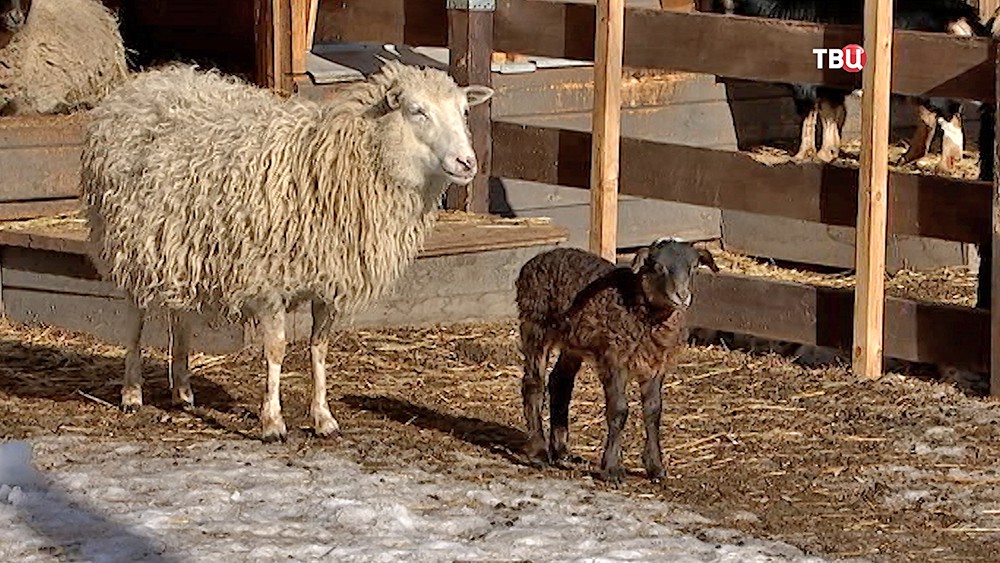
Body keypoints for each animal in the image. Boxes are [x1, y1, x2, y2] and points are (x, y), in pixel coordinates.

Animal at [82, 61, 492, 440]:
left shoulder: (329, 282)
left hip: (181, 245)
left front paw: (323, 418)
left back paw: (182, 390)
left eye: (464, 111)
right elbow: (276, 351)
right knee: (136, 318)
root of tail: (149, 79)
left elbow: (319, 348)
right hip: (130, 242)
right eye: (416, 110)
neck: (333, 163)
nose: (467, 163)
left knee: (179, 314)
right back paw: (132, 393)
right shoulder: (267, 282)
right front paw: (273, 422)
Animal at [516, 239, 720, 484]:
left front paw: (656, 468)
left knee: (560, 383)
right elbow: (619, 410)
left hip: (573, 341)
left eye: (694, 267)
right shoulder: (614, 360)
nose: (681, 295)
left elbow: (654, 411)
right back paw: (538, 452)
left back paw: (563, 452)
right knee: (533, 384)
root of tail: (539, 258)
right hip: (536, 323)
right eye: (658, 266)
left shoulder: (655, 366)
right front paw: (612, 468)